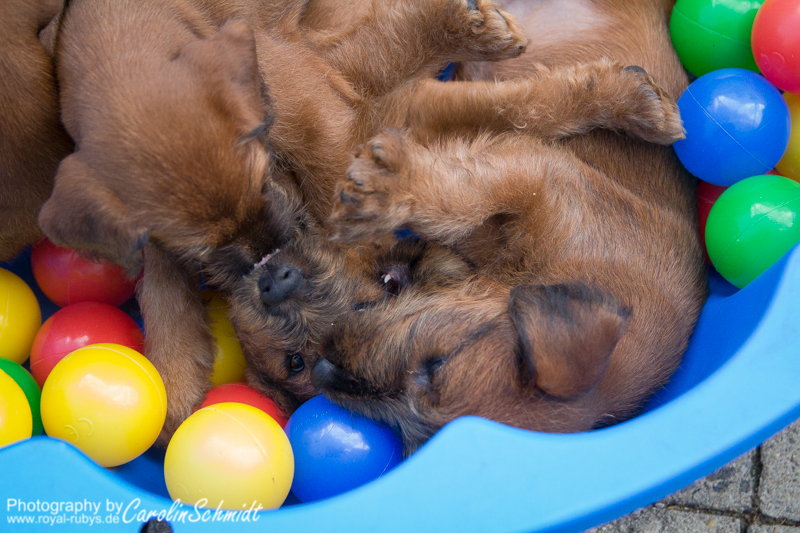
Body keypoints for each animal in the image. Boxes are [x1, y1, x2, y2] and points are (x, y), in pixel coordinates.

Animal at [39, 0, 528, 441]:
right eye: (296, 362)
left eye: (264, 179)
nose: (272, 271)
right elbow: (161, 281)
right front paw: (173, 377)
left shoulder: (314, 101)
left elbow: (335, 162)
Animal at [307, 0, 708, 456]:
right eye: (438, 361)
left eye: (410, 435)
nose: (320, 370)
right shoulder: (539, 175)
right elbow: (463, 197)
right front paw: (392, 189)